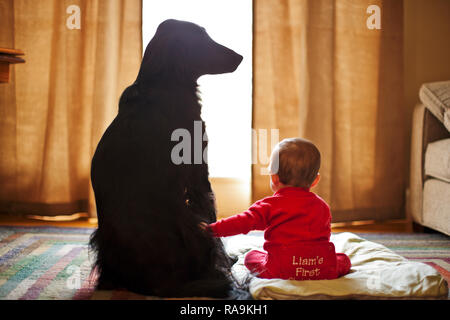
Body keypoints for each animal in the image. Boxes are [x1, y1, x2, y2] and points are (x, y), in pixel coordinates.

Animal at [89, 20, 244, 298]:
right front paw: (228, 259)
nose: (240, 57)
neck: (162, 84)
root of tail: (156, 285)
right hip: (194, 225)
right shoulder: (199, 174)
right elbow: (214, 216)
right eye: (203, 39)